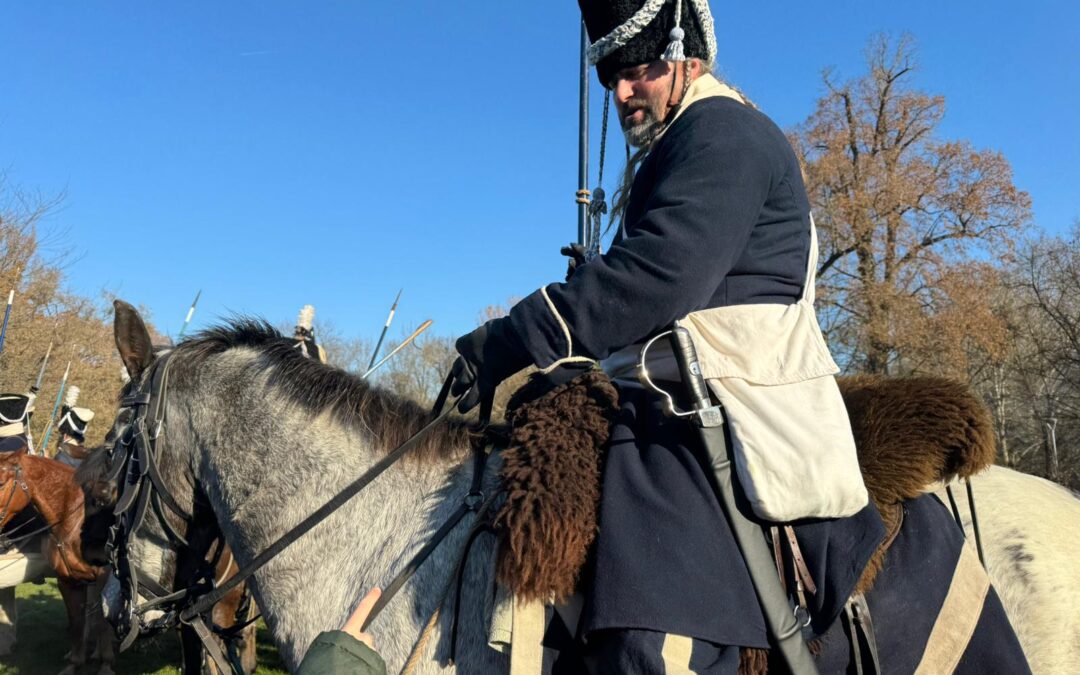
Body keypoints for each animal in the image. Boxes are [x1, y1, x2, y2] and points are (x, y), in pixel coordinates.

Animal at [0, 447, 115, 673]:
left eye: (1, 483)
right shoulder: (68, 581)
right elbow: (77, 620)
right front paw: (75, 662)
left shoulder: (103, 578)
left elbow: (103, 620)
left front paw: (106, 664)